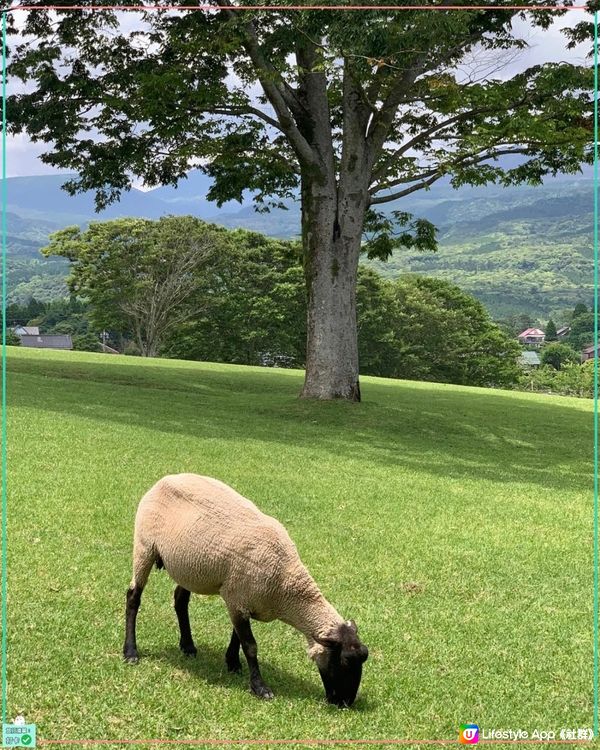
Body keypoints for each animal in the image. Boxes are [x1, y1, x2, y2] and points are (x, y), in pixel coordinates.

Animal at [122, 472, 368, 708]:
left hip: (188, 567)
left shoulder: (242, 598)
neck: (286, 585)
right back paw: (131, 652)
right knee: (133, 597)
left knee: (180, 600)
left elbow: (237, 637)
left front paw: (232, 663)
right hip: (144, 546)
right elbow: (250, 645)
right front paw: (260, 687)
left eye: (363, 657)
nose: (345, 703)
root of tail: (164, 479)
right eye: (345, 660)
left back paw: (188, 646)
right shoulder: (237, 598)